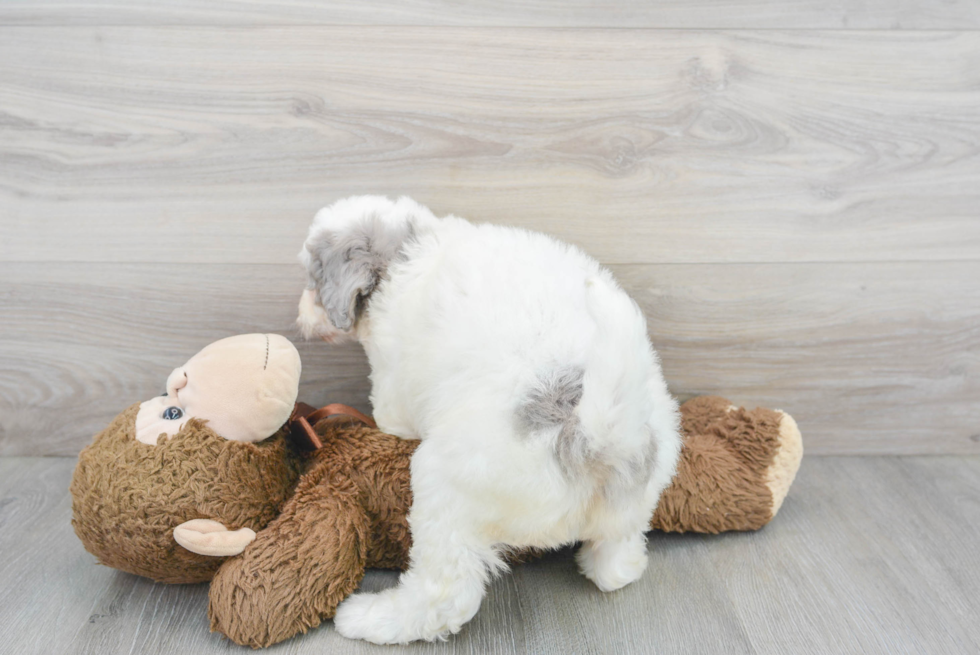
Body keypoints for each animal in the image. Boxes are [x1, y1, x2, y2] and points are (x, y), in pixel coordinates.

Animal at [298, 196, 680, 644]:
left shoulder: (392, 383)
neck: (410, 245)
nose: (301, 312)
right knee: (619, 559)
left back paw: (372, 618)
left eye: (313, 277)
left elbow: (391, 415)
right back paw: (612, 564)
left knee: (445, 596)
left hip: (446, 487)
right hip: (640, 492)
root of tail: (592, 437)